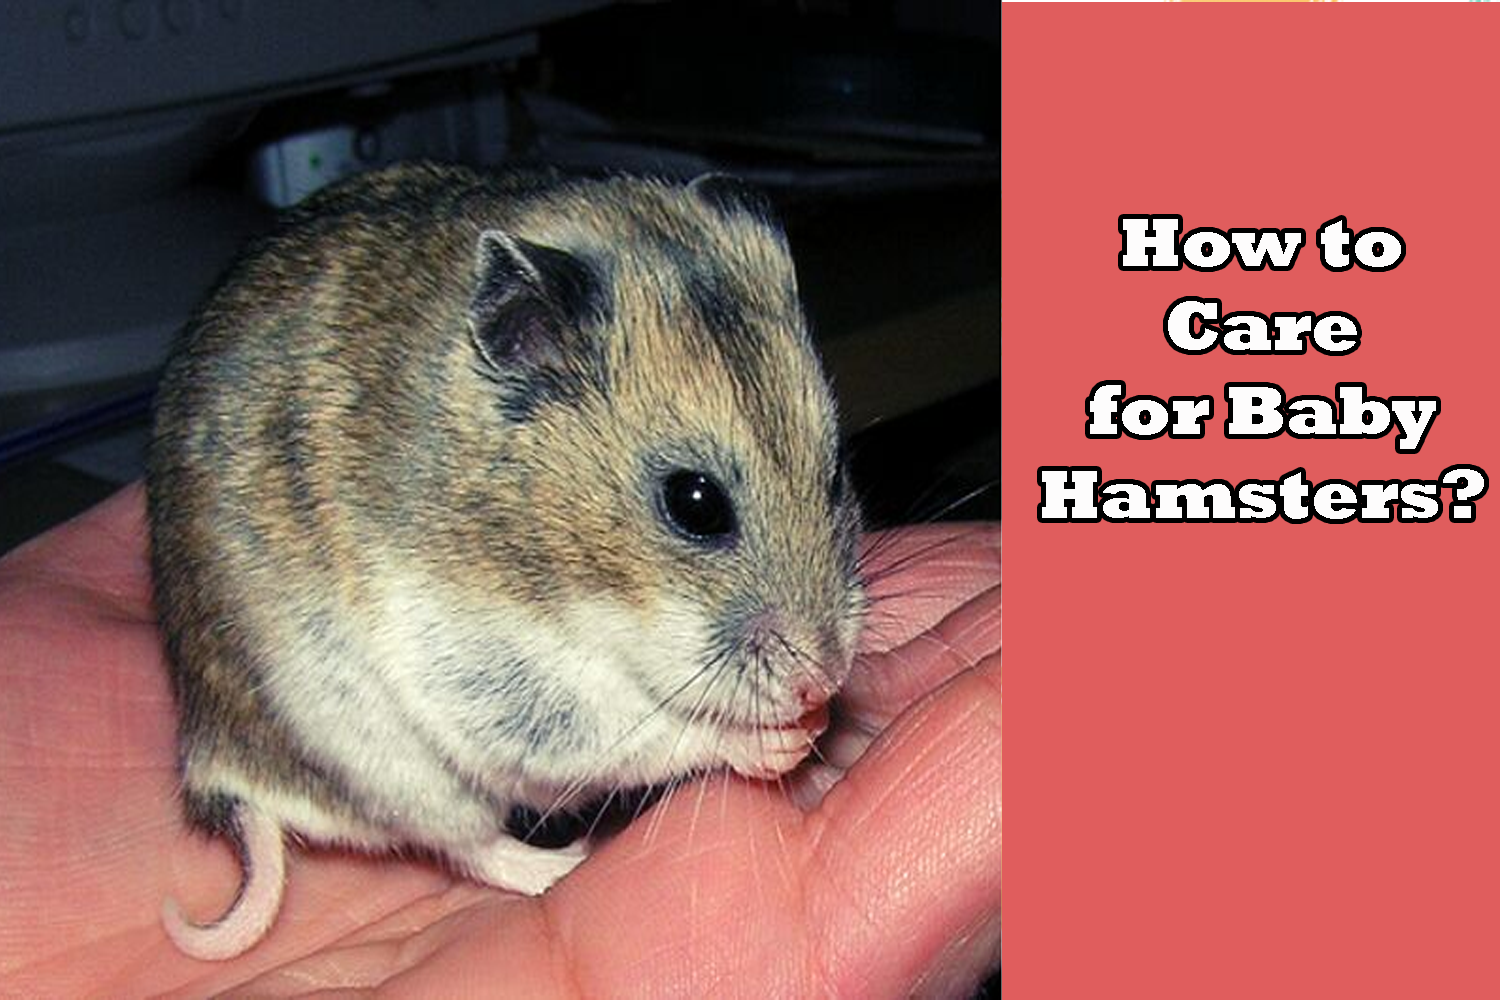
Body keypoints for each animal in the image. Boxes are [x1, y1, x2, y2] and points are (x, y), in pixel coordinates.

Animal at [145, 163, 865, 960]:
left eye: (837, 471)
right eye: (695, 503)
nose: (823, 680)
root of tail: (219, 768)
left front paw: (826, 731)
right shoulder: (506, 681)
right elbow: (649, 732)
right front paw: (781, 742)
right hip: (381, 759)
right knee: (468, 844)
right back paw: (561, 864)